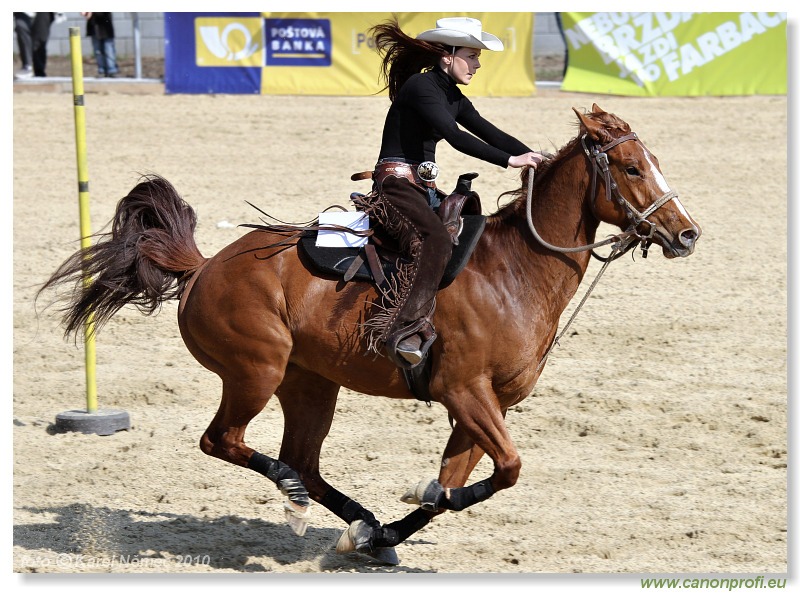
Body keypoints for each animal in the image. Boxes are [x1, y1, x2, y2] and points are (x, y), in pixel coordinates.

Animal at [39, 105, 700, 564]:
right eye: (633, 168)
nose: (687, 233)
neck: (512, 271)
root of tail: (203, 267)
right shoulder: (465, 393)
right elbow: (503, 469)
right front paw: (405, 506)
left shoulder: (481, 407)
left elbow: (456, 482)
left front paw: (387, 529)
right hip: (256, 372)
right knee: (226, 442)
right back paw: (298, 500)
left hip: (310, 385)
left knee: (303, 460)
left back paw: (357, 522)